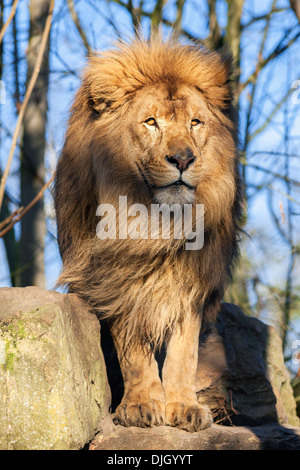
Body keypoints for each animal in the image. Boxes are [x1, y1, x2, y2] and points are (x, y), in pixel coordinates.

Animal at [53, 36, 241, 434]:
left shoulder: (192, 282)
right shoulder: (117, 279)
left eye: (195, 122)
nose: (183, 159)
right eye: (151, 122)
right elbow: (134, 352)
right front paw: (141, 406)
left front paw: (184, 406)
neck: (155, 224)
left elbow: (184, 353)